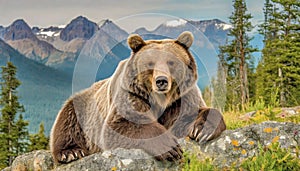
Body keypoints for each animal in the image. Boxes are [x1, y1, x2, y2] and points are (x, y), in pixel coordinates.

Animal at [50, 31, 226, 164]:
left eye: (171, 62)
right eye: (150, 63)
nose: (161, 81)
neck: (160, 100)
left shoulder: (181, 99)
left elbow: (189, 115)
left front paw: (202, 130)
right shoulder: (132, 96)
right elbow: (123, 124)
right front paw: (170, 147)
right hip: (82, 108)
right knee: (67, 123)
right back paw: (71, 152)